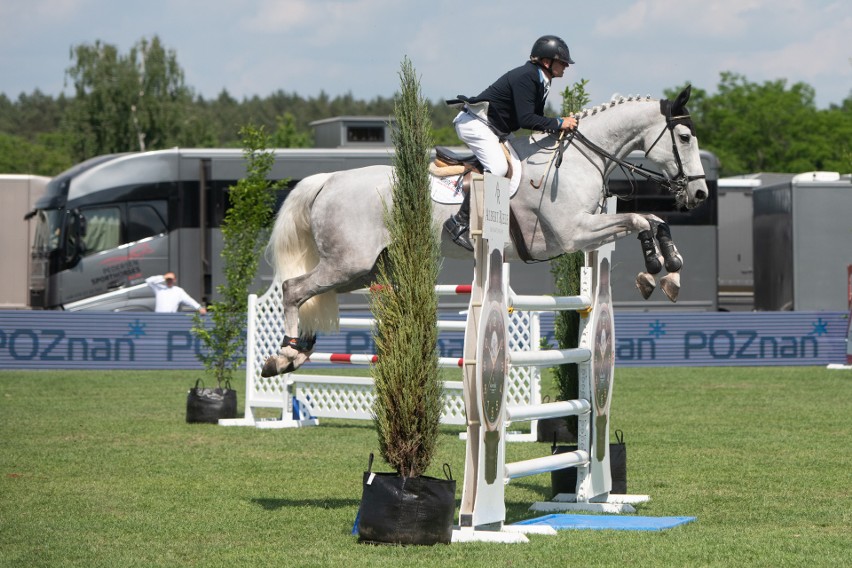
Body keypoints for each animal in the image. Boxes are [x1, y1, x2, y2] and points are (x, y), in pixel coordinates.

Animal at [262, 85, 708, 378]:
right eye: (685, 137)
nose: (700, 193)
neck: (580, 160)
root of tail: (327, 180)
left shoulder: (587, 231)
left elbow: (652, 220)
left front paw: (669, 270)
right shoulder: (574, 234)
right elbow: (639, 220)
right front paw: (655, 270)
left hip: (362, 270)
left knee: (308, 293)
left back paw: (298, 353)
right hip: (347, 262)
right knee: (294, 289)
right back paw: (283, 357)